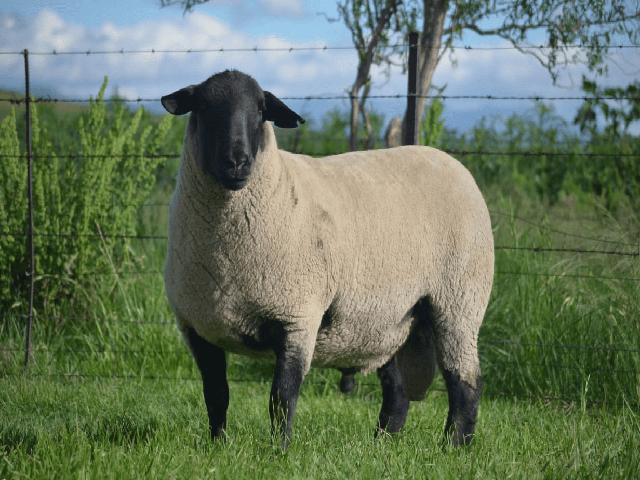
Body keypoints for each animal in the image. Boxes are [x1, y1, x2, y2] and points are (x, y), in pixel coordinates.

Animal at [161, 69, 494, 450]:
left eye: (261, 110)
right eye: (202, 106)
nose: (237, 162)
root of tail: (451, 162)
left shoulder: (297, 316)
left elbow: (281, 398)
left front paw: (279, 452)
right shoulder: (195, 325)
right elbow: (216, 394)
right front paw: (218, 447)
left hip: (460, 300)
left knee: (465, 381)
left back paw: (454, 446)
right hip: (390, 316)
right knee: (397, 389)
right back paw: (382, 444)